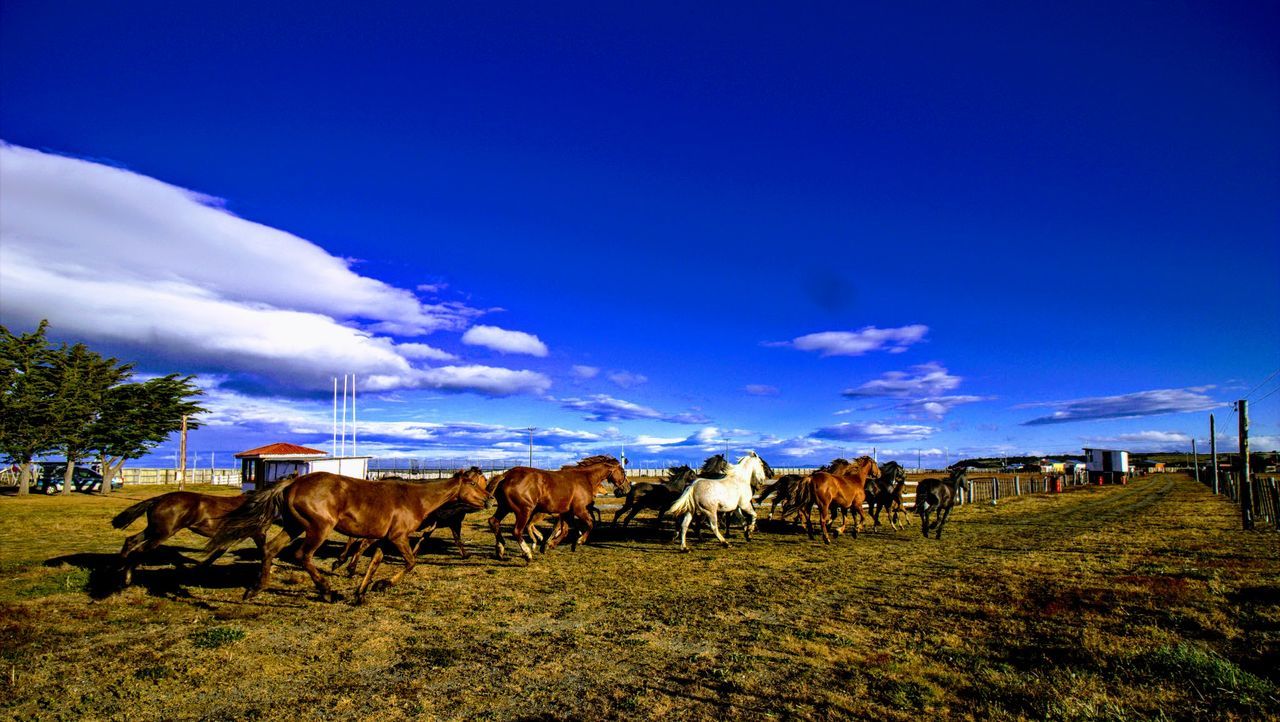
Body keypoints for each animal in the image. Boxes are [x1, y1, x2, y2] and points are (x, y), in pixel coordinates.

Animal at [110, 491, 262, 586]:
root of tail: (158, 499)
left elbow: (218, 553)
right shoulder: (256, 534)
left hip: (153, 530)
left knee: (131, 541)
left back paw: (119, 569)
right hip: (162, 533)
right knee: (139, 550)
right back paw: (127, 578)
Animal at [207, 465, 491, 601]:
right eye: (473, 483)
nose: (489, 499)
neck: (416, 498)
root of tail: (292, 482)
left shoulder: (383, 539)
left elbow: (373, 563)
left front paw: (362, 591)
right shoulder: (398, 538)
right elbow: (411, 562)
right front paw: (382, 584)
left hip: (294, 526)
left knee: (270, 549)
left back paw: (256, 588)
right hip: (318, 528)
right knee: (302, 556)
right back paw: (327, 591)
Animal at [486, 453, 627, 560]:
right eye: (622, 471)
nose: (625, 488)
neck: (585, 478)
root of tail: (505, 475)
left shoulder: (566, 512)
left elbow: (564, 530)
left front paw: (549, 545)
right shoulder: (580, 510)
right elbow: (591, 524)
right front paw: (580, 540)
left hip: (504, 508)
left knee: (494, 522)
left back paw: (500, 549)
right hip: (524, 511)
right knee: (516, 531)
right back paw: (527, 553)